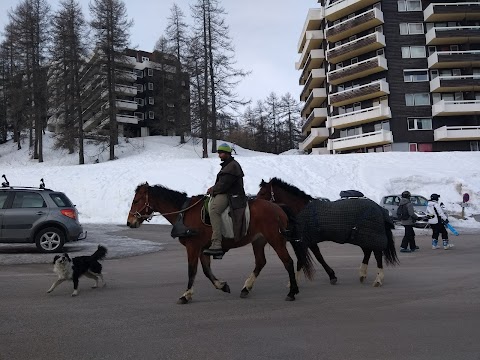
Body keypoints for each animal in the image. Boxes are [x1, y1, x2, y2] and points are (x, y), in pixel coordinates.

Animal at [126, 183, 316, 304]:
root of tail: (278, 207)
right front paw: (222, 285)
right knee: (261, 262)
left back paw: (292, 291)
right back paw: (246, 288)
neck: (184, 213)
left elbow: (192, 271)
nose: (129, 222)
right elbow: (206, 271)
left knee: (288, 262)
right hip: (258, 240)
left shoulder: (193, 247)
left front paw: (186, 295)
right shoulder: (202, 249)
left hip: (275, 239)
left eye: (136, 200)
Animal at [256, 177, 400, 286]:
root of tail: (378, 208)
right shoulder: (310, 241)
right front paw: (332, 275)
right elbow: (319, 256)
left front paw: (294, 281)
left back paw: (378, 279)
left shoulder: (304, 240)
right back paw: (362, 274)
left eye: (262, 192)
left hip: (370, 236)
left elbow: (302, 259)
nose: (256, 205)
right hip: (363, 236)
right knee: (367, 252)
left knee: (377, 254)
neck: (300, 209)